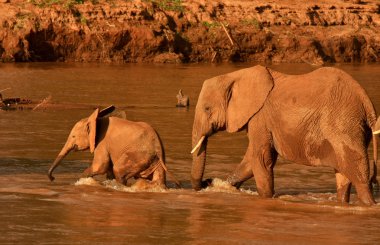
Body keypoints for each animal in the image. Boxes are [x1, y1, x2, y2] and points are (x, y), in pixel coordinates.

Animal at [47, 105, 180, 188]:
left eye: (73, 136)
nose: (53, 178)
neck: (96, 119)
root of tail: (157, 146)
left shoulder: (102, 142)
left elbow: (100, 166)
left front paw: (81, 181)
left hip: (138, 155)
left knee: (119, 170)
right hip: (154, 158)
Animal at [191, 64, 378, 205]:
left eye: (207, 108)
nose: (206, 181)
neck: (236, 75)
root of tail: (366, 101)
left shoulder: (259, 117)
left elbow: (261, 158)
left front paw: (267, 199)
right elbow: (252, 161)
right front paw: (220, 186)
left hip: (344, 127)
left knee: (360, 178)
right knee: (343, 176)